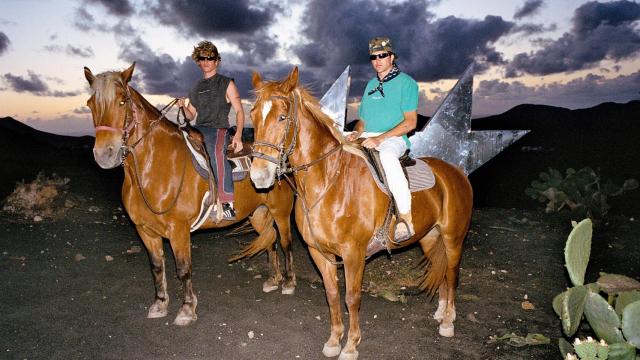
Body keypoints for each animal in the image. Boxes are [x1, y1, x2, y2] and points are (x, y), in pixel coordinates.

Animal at [83, 64, 298, 326]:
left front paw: (187, 309)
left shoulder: (178, 230)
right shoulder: (145, 231)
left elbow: (183, 269)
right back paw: (273, 279)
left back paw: (288, 282)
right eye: (90, 104)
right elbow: (157, 267)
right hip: (258, 214)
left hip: (281, 212)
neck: (154, 167)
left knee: (286, 243)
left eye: (122, 101)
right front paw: (160, 303)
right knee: (270, 241)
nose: (105, 154)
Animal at [250, 68, 476, 360]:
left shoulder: (353, 254)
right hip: (429, 238)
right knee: (442, 273)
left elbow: (352, 297)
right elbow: (332, 294)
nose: (259, 176)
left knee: (452, 273)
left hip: (453, 238)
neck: (329, 182)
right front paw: (334, 340)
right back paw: (441, 312)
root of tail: (457, 173)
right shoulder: (319, 252)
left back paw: (448, 321)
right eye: (253, 115)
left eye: (282, 116)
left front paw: (351, 345)